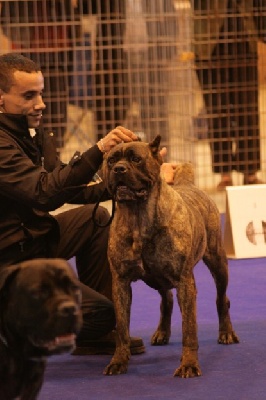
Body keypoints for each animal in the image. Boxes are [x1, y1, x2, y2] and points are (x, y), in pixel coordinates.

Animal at [102, 135, 239, 378]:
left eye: (136, 159)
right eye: (110, 161)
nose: (119, 169)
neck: (138, 217)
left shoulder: (185, 282)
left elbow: (189, 330)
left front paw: (189, 364)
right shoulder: (121, 283)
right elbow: (122, 328)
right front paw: (118, 360)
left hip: (218, 263)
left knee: (222, 299)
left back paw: (226, 333)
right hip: (156, 278)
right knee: (166, 300)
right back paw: (162, 332)